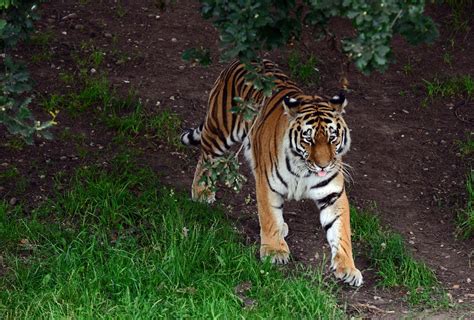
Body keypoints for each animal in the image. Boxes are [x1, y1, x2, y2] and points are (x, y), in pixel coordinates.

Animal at [181, 58, 362, 286]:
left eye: (332, 138)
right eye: (308, 138)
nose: (323, 165)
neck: (304, 169)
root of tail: (245, 58)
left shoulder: (333, 195)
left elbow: (341, 231)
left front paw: (348, 268)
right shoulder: (267, 185)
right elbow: (269, 216)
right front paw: (275, 251)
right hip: (220, 130)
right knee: (206, 157)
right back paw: (201, 192)